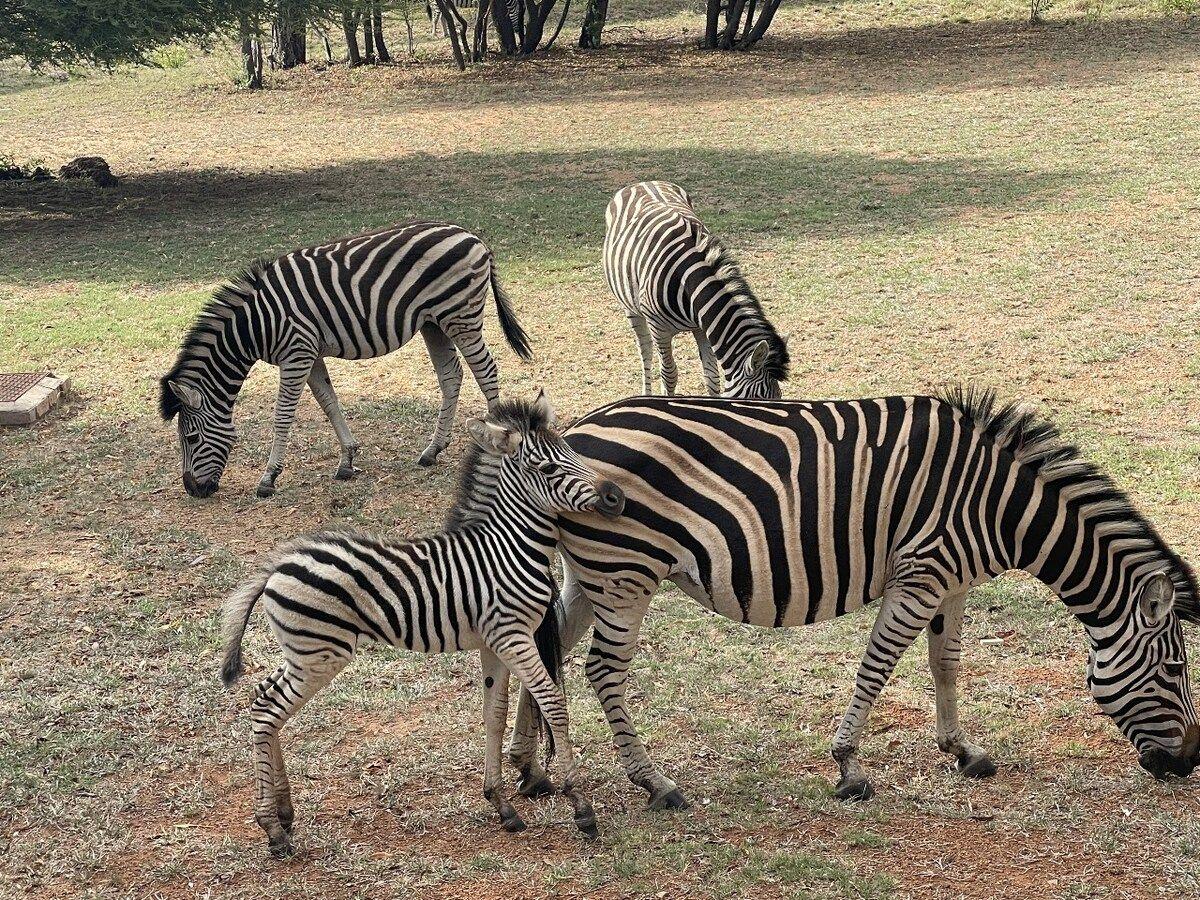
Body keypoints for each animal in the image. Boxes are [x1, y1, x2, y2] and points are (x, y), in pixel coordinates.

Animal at [159, 222, 530, 499]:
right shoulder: (310, 355)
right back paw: (432, 450)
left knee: (486, 370)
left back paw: (495, 447)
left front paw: (268, 478)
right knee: (451, 375)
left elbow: (283, 417)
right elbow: (329, 402)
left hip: (459, 316)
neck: (256, 324)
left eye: (190, 439)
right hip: (433, 323)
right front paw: (347, 460)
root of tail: (473, 236)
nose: (192, 490)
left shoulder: (296, 353)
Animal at [219, 391, 626, 856]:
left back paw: (284, 814)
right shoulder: (513, 634)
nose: (616, 497)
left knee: (261, 700)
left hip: (302, 652)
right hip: (319, 653)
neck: (508, 545)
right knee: (268, 710)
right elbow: (553, 703)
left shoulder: (493, 641)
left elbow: (494, 712)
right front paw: (580, 805)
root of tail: (277, 566)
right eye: (547, 469)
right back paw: (272, 827)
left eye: (574, 453)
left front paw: (501, 804)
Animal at [506, 389, 1199, 809]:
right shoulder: (920, 573)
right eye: (1174, 669)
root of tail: (572, 434)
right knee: (601, 670)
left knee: (546, 650)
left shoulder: (951, 581)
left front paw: (962, 750)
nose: (1191, 761)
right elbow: (877, 667)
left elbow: (945, 664)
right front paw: (847, 767)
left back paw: (529, 768)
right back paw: (653, 783)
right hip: (627, 573)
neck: (998, 506)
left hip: (590, 575)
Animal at [603, 180, 789, 399]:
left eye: (779, 397)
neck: (689, 284)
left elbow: (712, 376)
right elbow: (670, 374)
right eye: (757, 399)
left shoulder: (703, 327)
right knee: (646, 352)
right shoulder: (659, 329)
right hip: (631, 309)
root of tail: (644, 182)